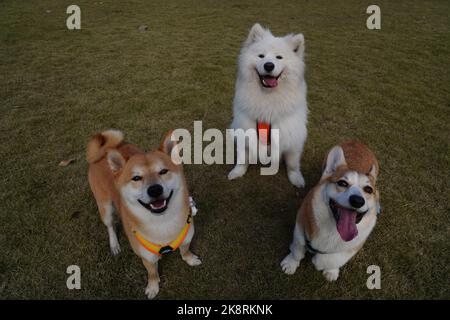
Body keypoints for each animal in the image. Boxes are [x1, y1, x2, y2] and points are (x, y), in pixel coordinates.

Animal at [87, 129, 201, 298]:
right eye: (136, 178)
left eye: (163, 171)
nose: (155, 189)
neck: (163, 224)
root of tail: (101, 150)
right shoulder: (147, 258)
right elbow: (152, 273)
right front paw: (153, 287)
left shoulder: (187, 238)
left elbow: (185, 250)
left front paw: (190, 259)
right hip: (105, 207)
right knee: (110, 226)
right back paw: (114, 244)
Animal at [229, 23, 310, 188]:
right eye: (261, 56)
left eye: (279, 57)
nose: (268, 65)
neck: (267, 99)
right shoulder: (244, 129)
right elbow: (242, 157)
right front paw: (237, 172)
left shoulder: (292, 135)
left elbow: (293, 163)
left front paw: (296, 178)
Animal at [282, 141, 380, 282]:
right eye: (342, 183)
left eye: (368, 189)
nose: (357, 201)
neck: (333, 231)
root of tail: (356, 141)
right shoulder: (300, 227)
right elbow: (297, 250)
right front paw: (290, 264)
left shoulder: (351, 247)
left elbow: (334, 259)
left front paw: (330, 270)